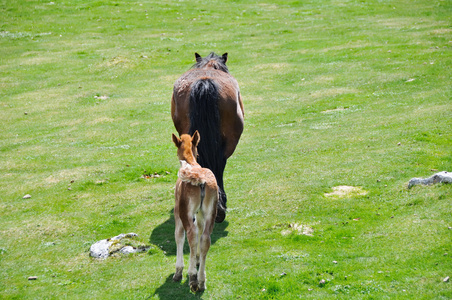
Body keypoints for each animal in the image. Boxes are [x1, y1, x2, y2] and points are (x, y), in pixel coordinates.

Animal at [171, 130, 219, 292]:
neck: (192, 163)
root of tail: (199, 178)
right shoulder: (199, 214)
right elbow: (200, 230)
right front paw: (197, 260)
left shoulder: (178, 211)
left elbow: (179, 236)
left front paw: (178, 272)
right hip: (211, 212)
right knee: (205, 238)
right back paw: (202, 280)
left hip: (185, 212)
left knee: (191, 234)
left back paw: (193, 278)